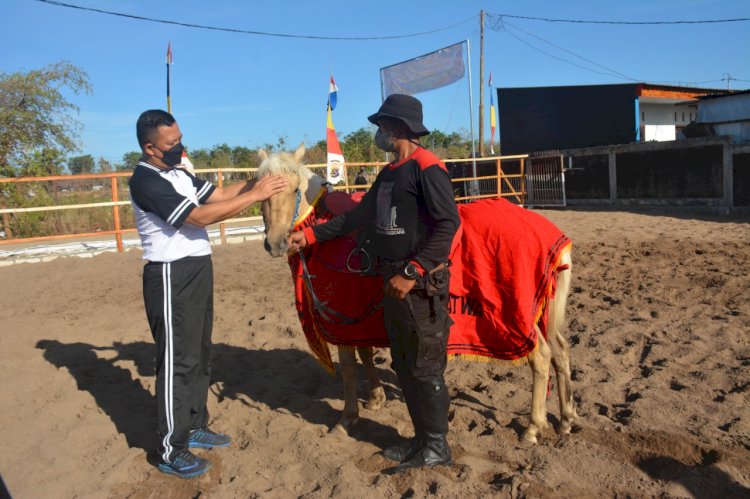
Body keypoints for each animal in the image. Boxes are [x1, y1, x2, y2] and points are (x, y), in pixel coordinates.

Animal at [256, 145, 580, 446]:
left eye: (294, 190)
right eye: (261, 194)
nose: (276, 243)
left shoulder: (342, 321)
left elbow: (348, 369)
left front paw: (347, 419)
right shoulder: (359, 320)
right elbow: (366, 354)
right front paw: (376, 397)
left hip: (516, 322)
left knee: (541, 356)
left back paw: (533, 427)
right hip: (543, 314)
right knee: (560, 352)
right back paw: (566, 418)